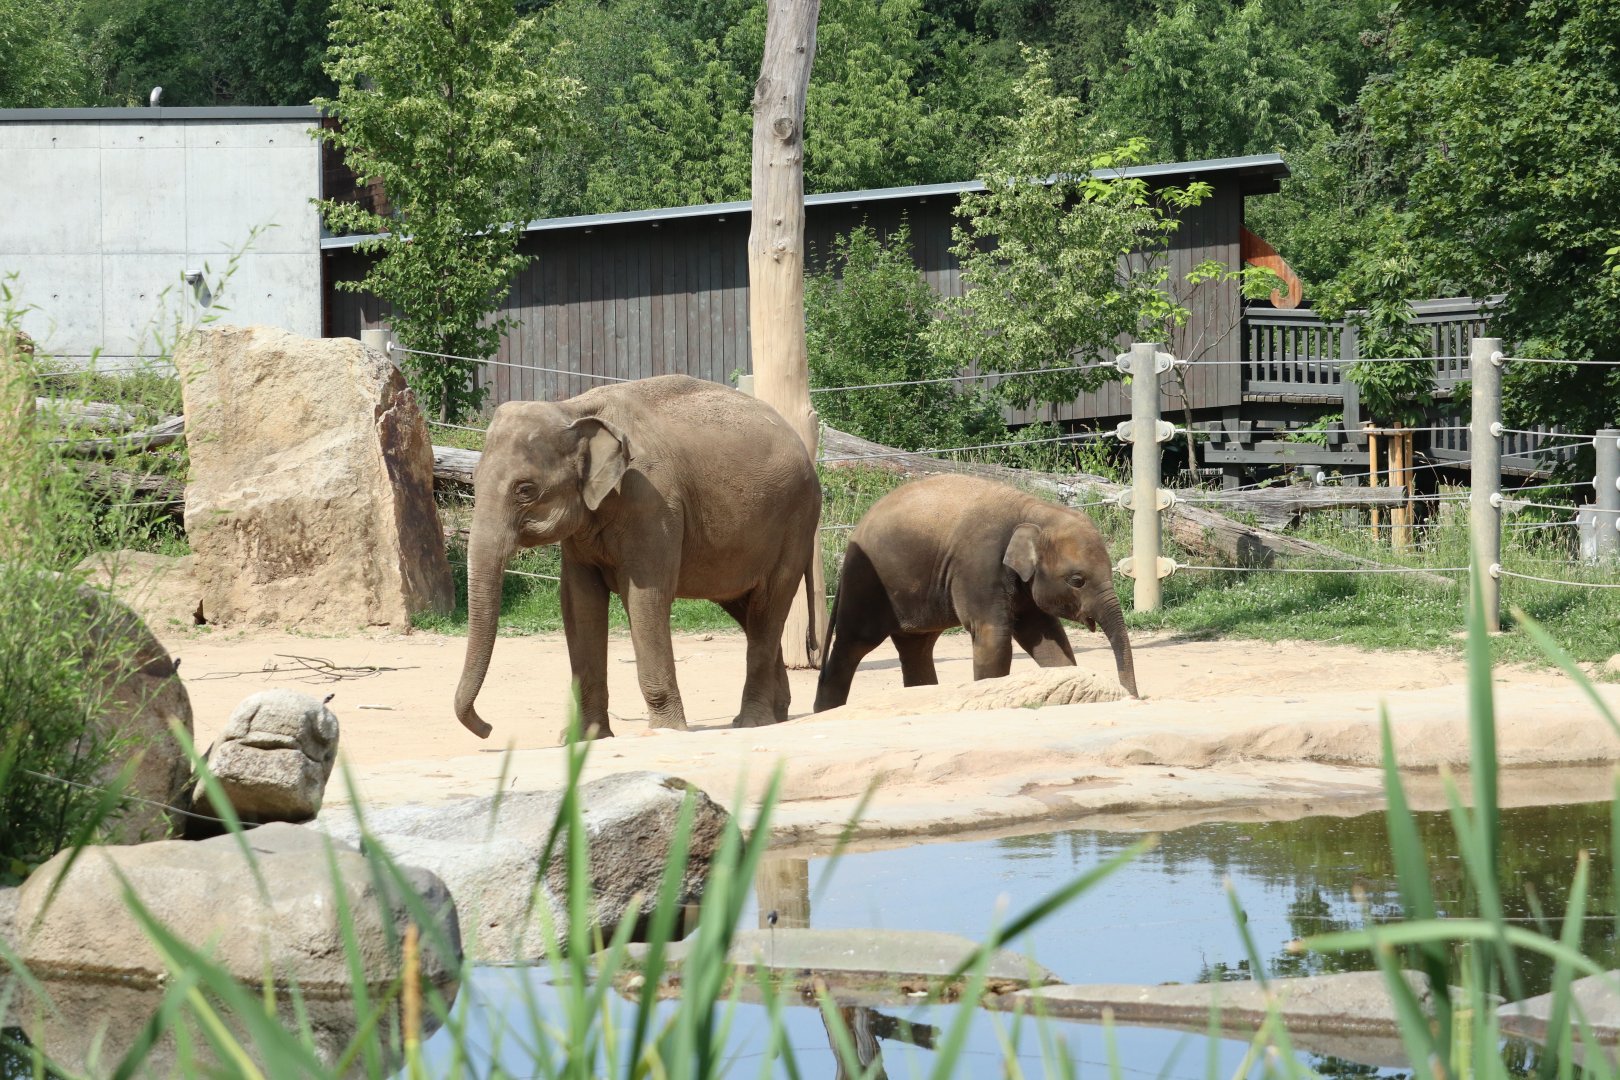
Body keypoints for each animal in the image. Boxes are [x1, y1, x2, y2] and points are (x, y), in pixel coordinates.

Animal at [453, 375, 821, 740]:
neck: (574, 408)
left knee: (768, 607)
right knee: (748, 610)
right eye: (473, 479)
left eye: (525, 490)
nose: (487, 728)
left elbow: (647, 597)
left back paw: (752, 722)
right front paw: (585, 739)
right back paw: (776, 715)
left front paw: (666, 731)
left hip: (795, 523)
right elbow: (579, 603)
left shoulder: (653, 505)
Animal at [813, 474, 1138, 711]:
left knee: (916, 646)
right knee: (854, 642)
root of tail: (855, 531)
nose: (1135, 698)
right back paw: (826, 710)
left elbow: (1046, 635)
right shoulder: (979, 564)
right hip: (866, 581)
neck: (1034, 511)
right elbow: (993, 636)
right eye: (1077, 580)